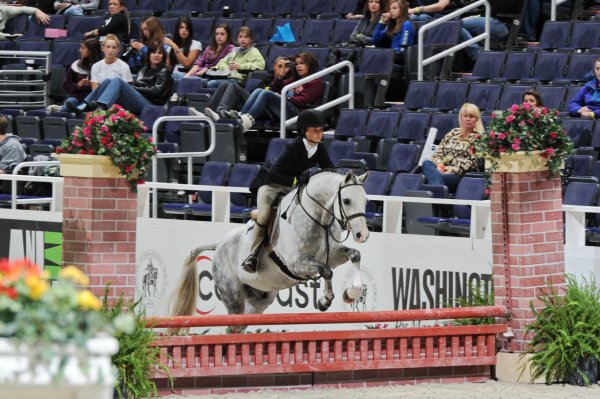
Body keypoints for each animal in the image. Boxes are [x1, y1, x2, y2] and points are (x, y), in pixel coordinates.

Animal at [170, 170, 370, 332]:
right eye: (346, 200)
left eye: (366, 201)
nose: (362, 235)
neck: (320, 220)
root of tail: (219, 245)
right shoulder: (296, 264)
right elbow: (326, 271)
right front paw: (325, 301)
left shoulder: (333, 256)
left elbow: (354, 255)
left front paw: (350, 294)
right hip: (232, 295)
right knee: (232, 324)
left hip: (260, 299)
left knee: (239, 325)